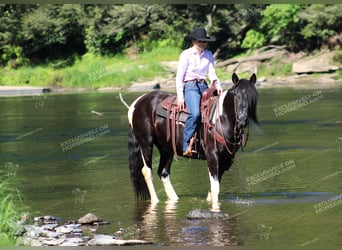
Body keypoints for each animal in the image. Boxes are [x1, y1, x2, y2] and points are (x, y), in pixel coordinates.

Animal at [127, 73, 258, 211]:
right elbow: (215, 189)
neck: (220, 119)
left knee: (163, 172)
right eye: (236, 95)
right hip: (146, 142)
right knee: (147, 171)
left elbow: (212, 190)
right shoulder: (212, 156)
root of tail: (136, 103)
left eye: (252, 96)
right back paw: (155, 201)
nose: (242, 120)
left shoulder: (225, 160)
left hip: (166, 148)